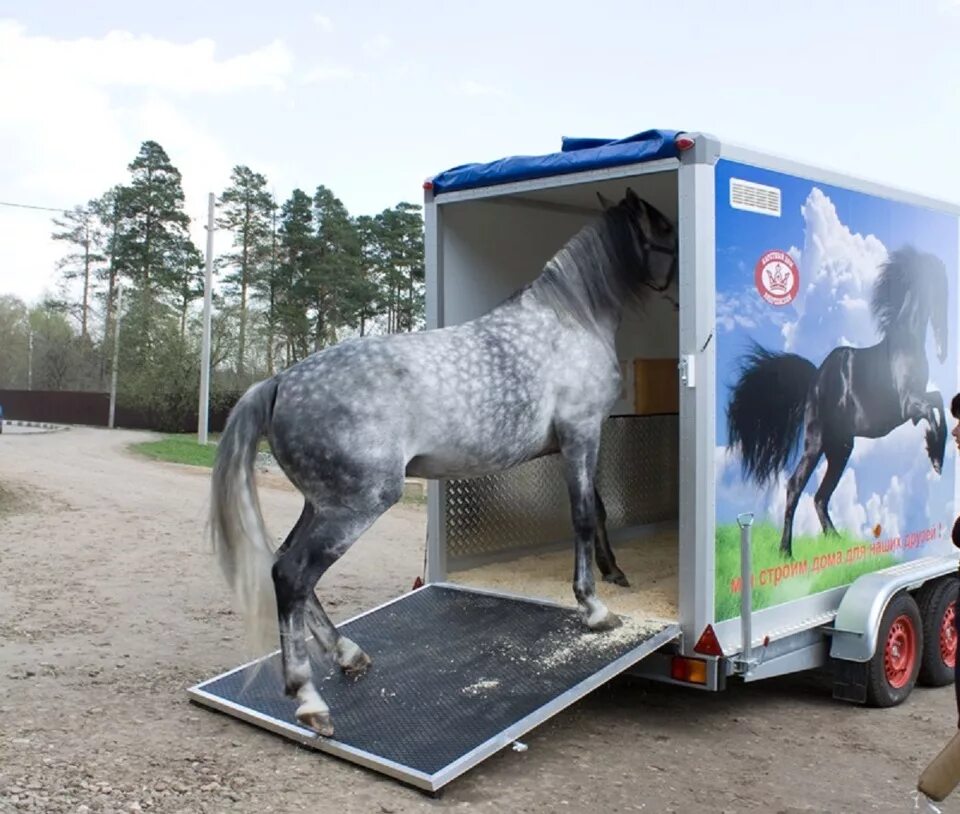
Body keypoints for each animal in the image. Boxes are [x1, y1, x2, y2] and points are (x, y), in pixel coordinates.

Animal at [207, 191, 680, 740]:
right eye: (666, 230)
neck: (570, 320)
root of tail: (280, 381)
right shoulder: (581, 433)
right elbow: (582, 516)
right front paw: (595, 607)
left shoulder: (575, 442)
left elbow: (598, 510)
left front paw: (614, 572)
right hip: (358, 505)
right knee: (292, 575)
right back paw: (309, 699)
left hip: (321, 505)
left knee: (289, 566)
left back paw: (348, 655)